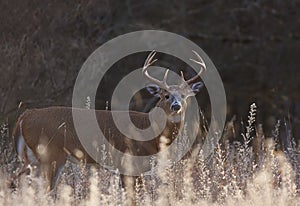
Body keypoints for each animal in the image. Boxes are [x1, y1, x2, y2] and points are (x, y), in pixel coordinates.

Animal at [10, 50, 205, 194]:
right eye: (165, 95)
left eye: (185, 96)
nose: (176, 106)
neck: (149, 130)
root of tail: (24, 116)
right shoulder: (129, 162)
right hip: (51, 153)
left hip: (33, 157)